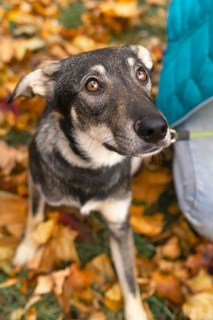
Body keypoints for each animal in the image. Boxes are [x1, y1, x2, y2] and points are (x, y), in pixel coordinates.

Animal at [8, 45, 171, 320]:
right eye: (92, 85)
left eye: (141, 74)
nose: (157, 128)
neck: (89, 167)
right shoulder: (36, 180)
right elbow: (35, 218)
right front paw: (25, 250)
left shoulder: (119, 224)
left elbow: (130, 281)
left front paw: (136, 312)